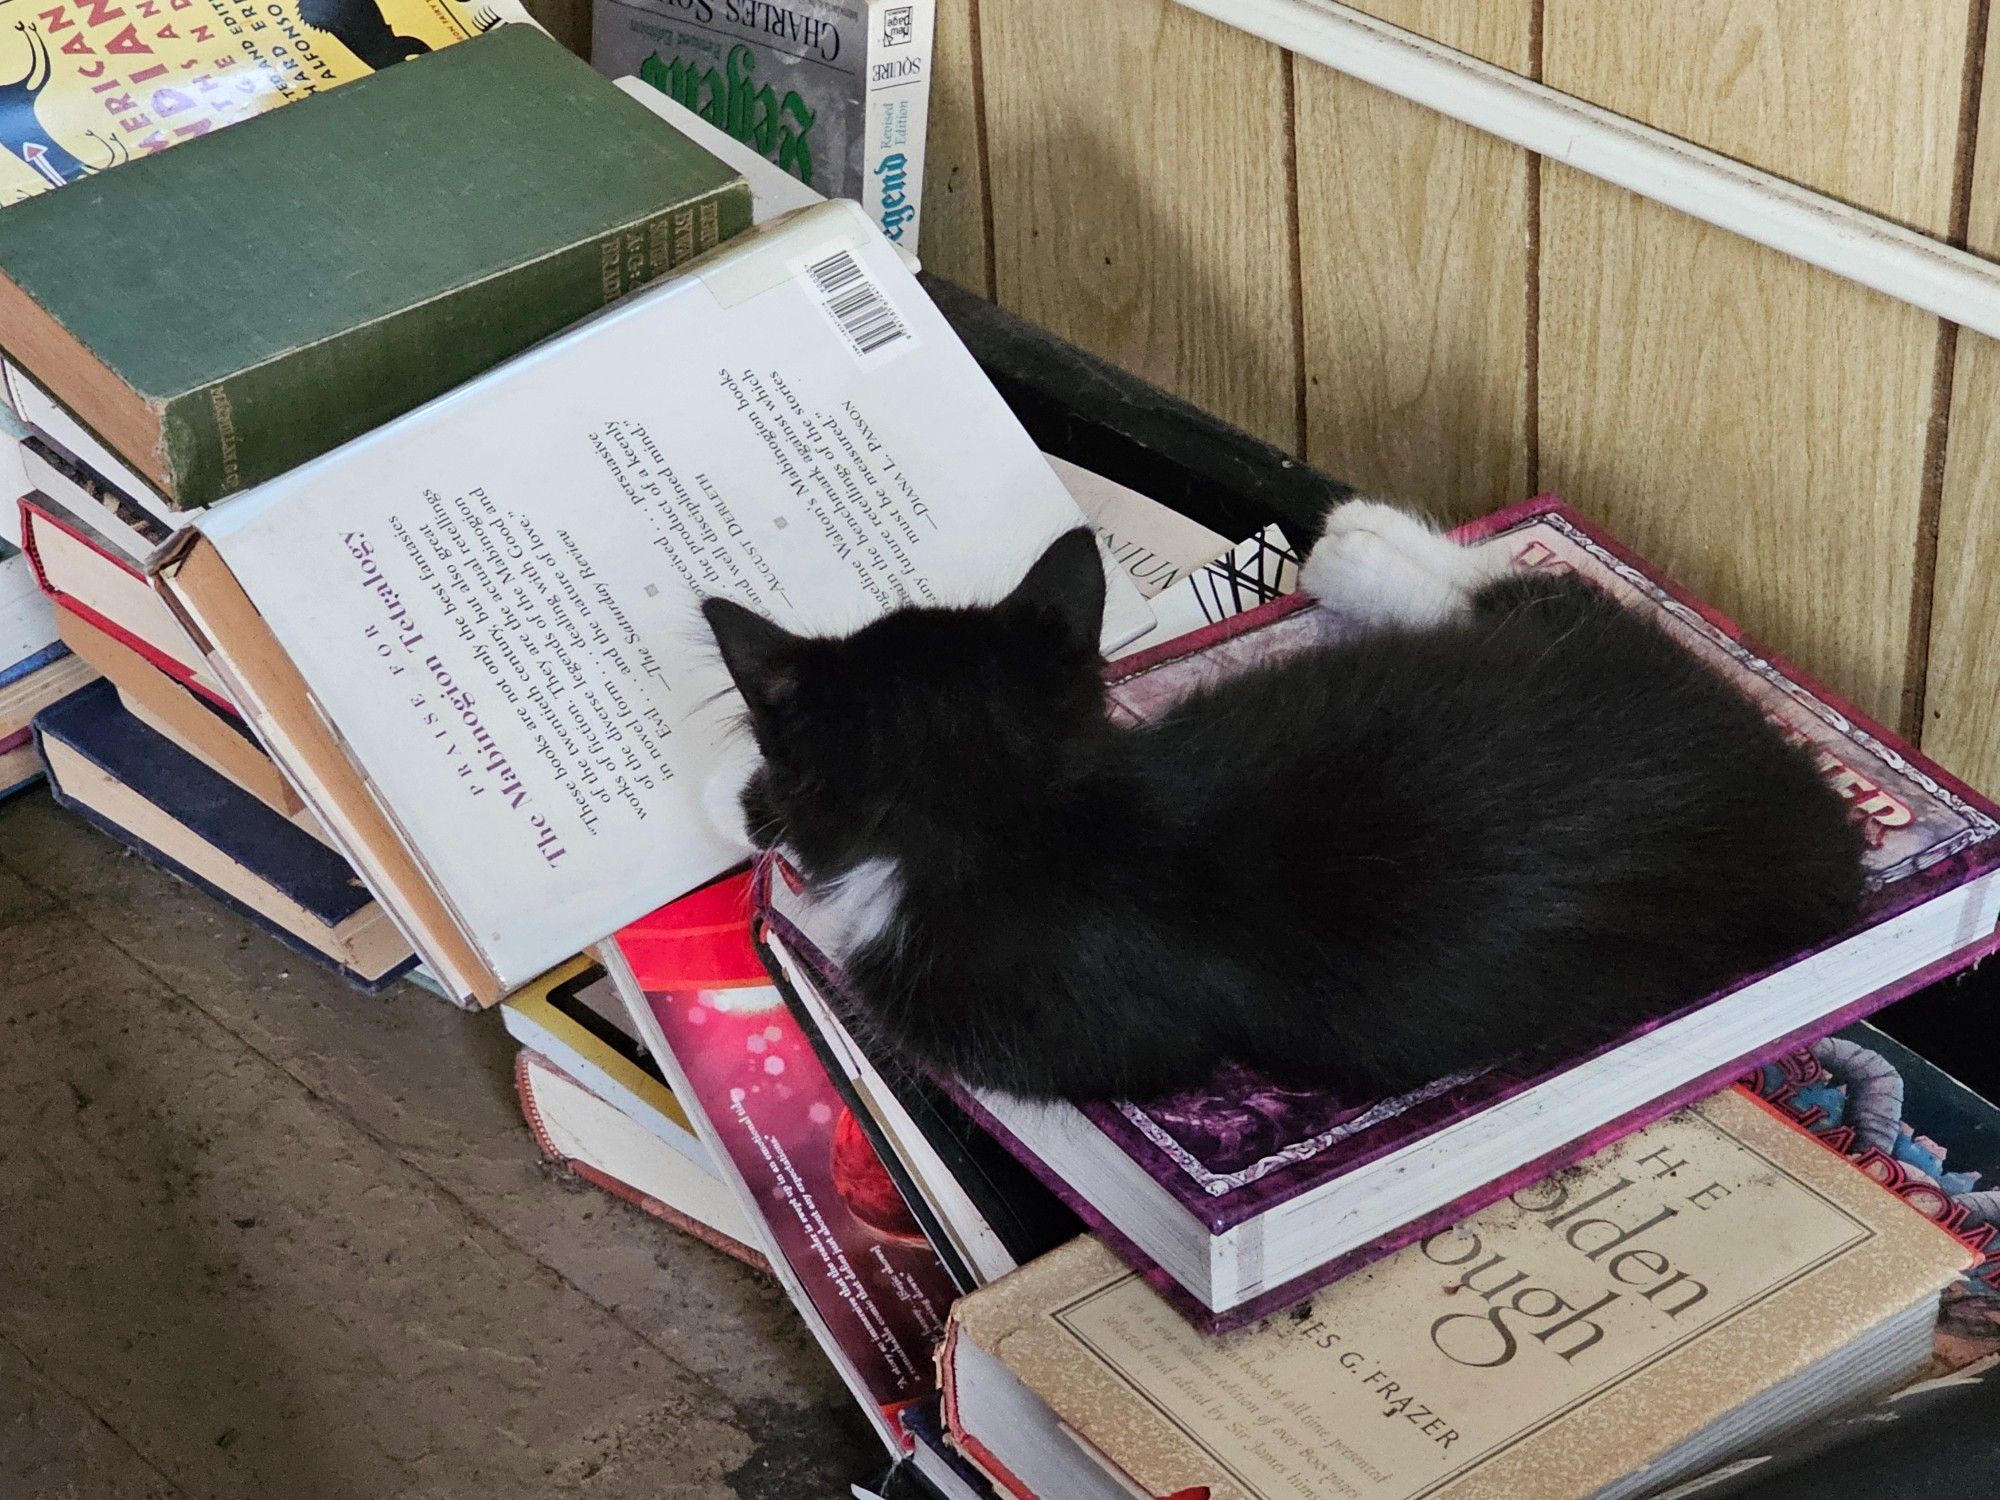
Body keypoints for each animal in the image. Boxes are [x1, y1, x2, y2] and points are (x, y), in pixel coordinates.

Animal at [700, 506, 1856, 1104]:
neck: (998, 811)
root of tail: (1810, 806)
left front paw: (742, 810)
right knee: (1548, 596)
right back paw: (1369, 550)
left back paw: (1355, 549)